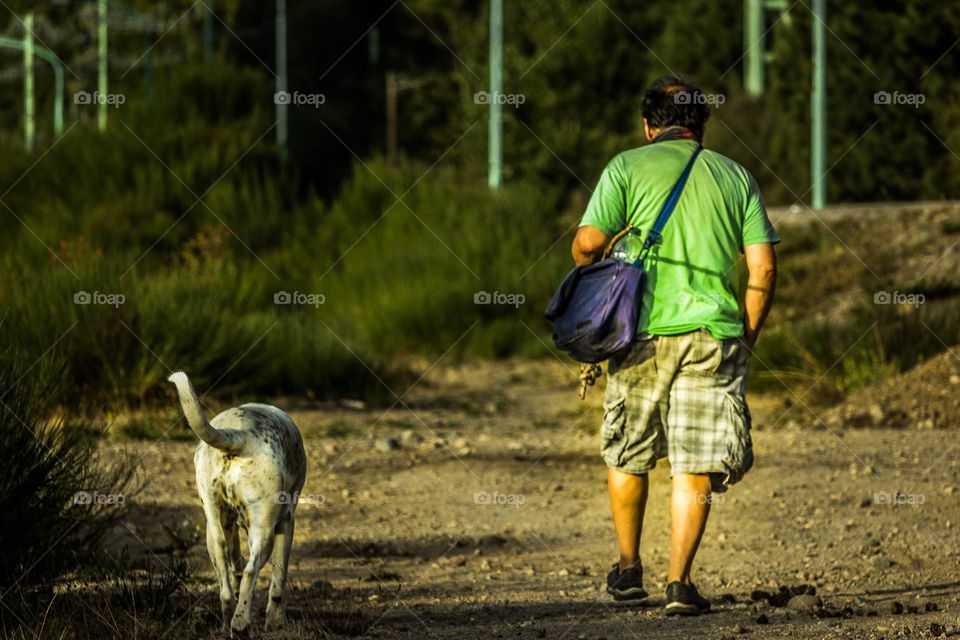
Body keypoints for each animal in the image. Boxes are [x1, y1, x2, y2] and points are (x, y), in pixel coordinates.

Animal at [169, 370, 308, 636]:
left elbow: (235, 567)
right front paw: (276, 621)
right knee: (250, 572)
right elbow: (278, 583)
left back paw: (227, 623)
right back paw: (242, 624)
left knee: (226, 588)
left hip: (214, 534)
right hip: (264, 533)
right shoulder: (286, 524)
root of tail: (240, 435)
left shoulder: (230, 528)